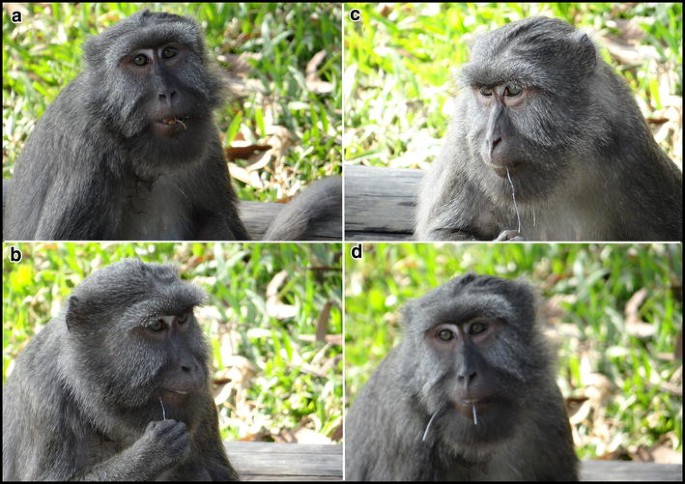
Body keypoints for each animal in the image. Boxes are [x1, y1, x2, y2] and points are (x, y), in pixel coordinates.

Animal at [415, 17, 682, 242]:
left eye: (513, 90)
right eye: (485, 92)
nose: (491, 139)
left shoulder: (629, 142)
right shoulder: (463, 148)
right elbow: (443, 233)